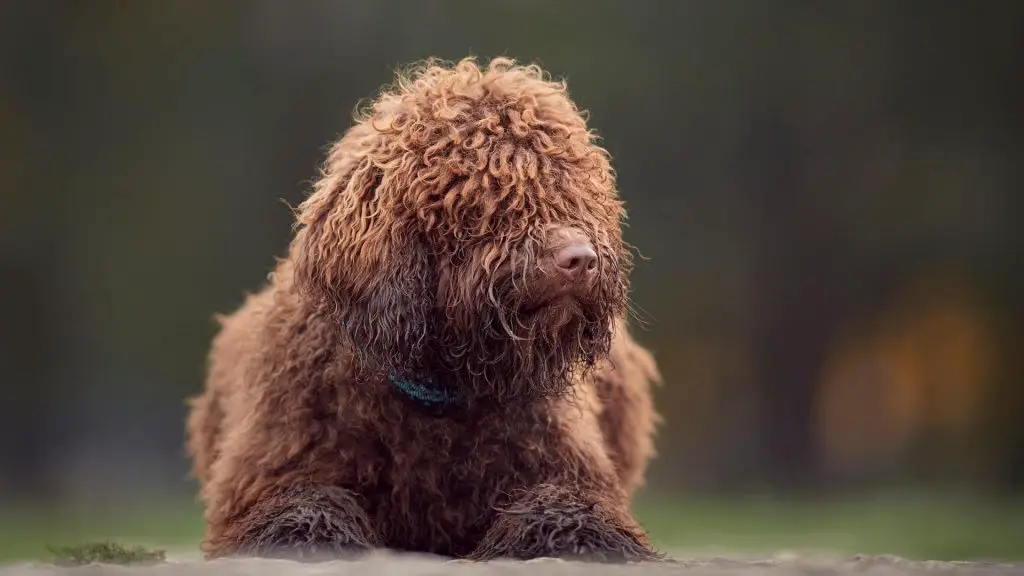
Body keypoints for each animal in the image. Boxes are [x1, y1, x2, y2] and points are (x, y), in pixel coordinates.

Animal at [184, 57, 663, 561]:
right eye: (489, 194)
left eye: (576, 191)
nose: (581, 260)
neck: (441, 396)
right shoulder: (273, 473)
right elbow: (302, 508)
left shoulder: (564, 467)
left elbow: (570, 507)